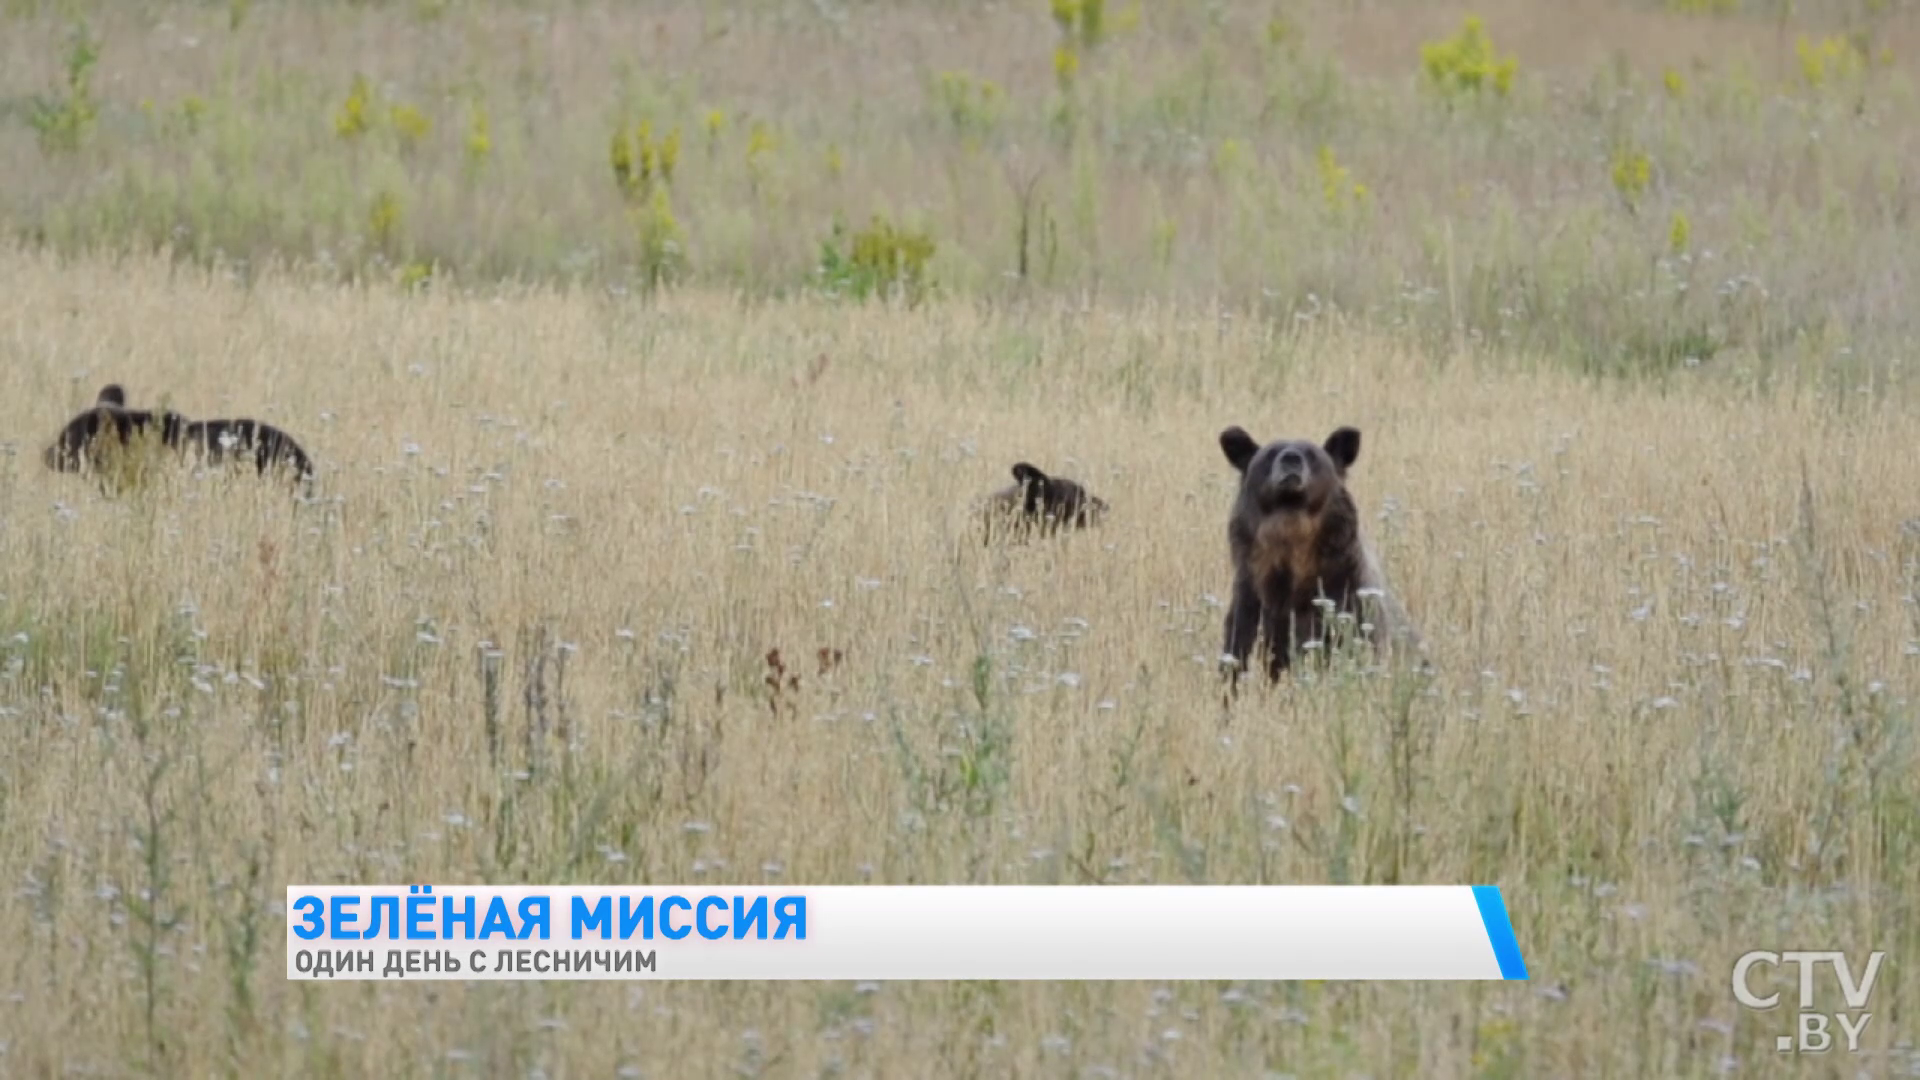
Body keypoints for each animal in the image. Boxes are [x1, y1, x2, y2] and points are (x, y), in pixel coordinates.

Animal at [1221, 422, 1420, 680]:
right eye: (1270, 453)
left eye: (1312, 454)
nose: (1291, 458)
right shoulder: (1252, 595)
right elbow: (1241, 647)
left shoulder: (1344, 592)